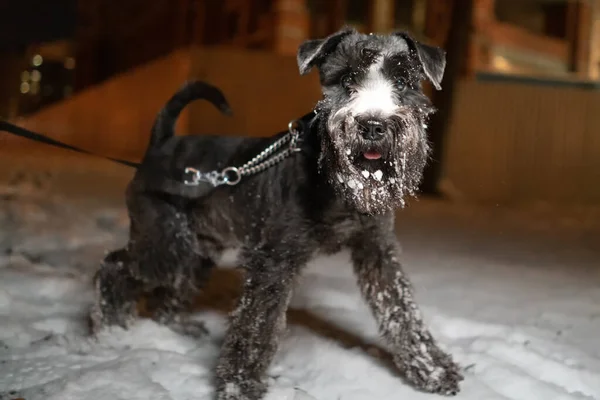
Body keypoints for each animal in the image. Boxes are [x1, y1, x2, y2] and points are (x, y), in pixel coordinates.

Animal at [90, 28, 464, 400]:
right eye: (347, 78)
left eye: (402, 79)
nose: (372, 124)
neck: (333, 185)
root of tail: (161, 144)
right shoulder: (273, 261)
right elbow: (257, 324)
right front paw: (239, 385)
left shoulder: (376, 249)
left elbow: (401, 309)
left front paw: (432, 369)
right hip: (166, 245)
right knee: (114, 266)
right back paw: (108, 330)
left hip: (197, 251)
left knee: (168, 291)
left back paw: (177, 328)